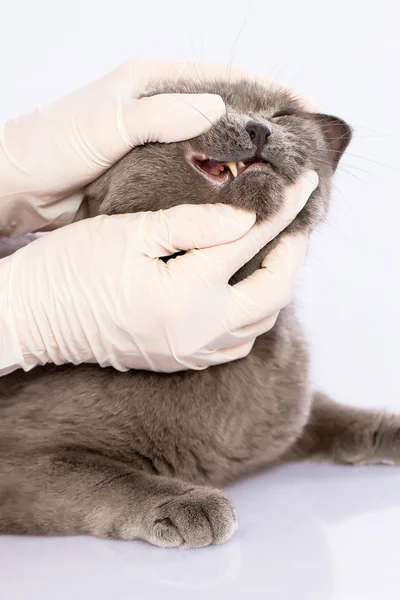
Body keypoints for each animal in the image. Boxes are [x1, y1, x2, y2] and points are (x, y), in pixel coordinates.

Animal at [1, 76, 398, 548]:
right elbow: (104, 477)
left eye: (282, 115)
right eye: (205, 103)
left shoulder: (294, 412)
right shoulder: (21, 455)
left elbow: (336, 413)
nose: (258, 127)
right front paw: (187, 503)